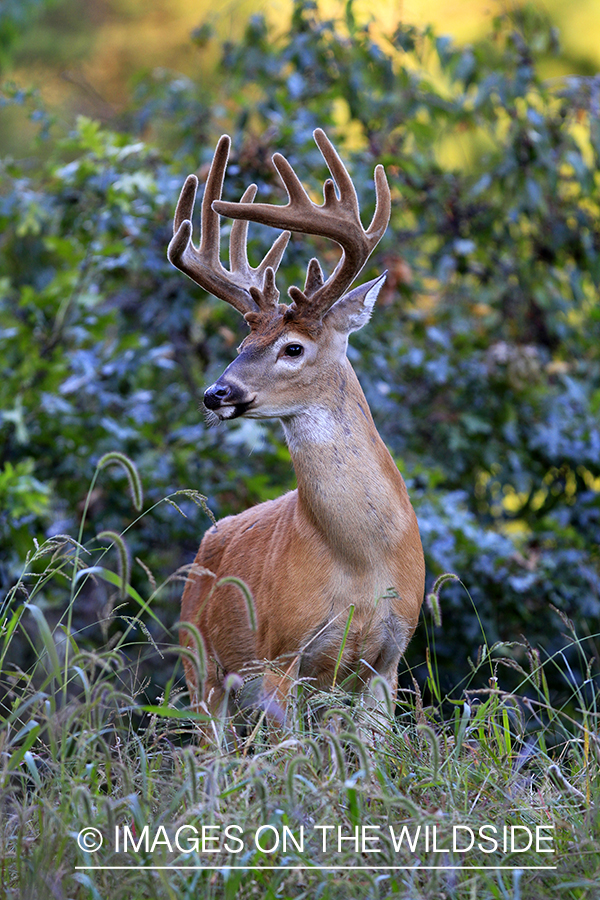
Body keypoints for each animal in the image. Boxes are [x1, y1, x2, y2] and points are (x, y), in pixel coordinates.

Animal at [166, 130, 424, 728]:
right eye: (242, 345)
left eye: (292, 348)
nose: (216, 394)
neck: (362, 560)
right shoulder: (281, 652)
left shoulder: (391, 656)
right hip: (200, 667)